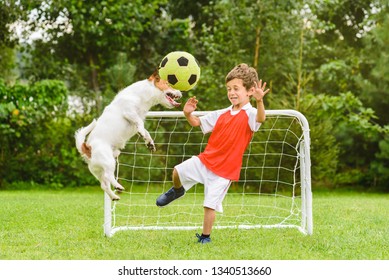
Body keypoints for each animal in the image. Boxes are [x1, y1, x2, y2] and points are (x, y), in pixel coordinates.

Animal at [75, 71, 181, 200]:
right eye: (167, 84)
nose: (180, 92)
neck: (141, 95)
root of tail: (86, 148)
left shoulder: (137, 121)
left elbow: (145, 130)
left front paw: (149, 142)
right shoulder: (129, 112)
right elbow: (140, 124)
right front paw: (142, 134)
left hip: (99, 169)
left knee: (104, 185)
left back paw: (114, 196)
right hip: (109, 161)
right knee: (109, 176)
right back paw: (118, 186)